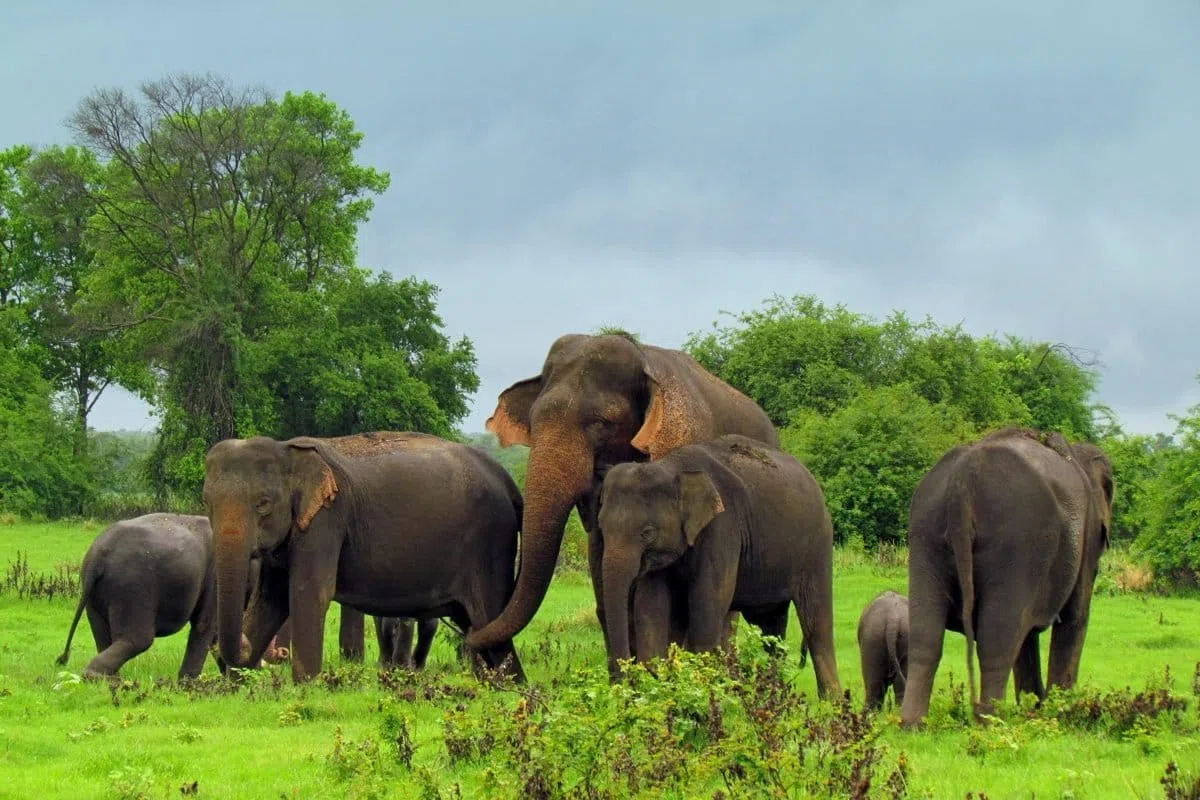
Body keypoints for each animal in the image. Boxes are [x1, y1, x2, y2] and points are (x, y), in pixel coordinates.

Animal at [56, 513, 217, 680]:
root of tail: (98, 555)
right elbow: (205, 624)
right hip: (134, 586)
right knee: (138, 640)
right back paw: (100, 677)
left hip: (96, 595)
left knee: (103, 636)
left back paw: (111, 680)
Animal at [203, 430, 525, 683]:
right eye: (207, 502)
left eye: (263, 504)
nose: (248, 649)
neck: (287, 449)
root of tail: (507, 479)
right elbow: (271, 600)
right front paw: (237, 685)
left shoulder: (327, 519)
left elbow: (309, 592)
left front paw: (306, 687)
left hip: (489, 546)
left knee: (489, 618)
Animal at [593, 435, 842, 698]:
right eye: (601, 526)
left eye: (647, 533)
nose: (622, 688)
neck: (672, 467)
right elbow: (651, 608)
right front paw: (663, 688)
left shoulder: (722, 528)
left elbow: (707, 605)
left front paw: (700, 692)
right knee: (770, 628)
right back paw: (774, 693)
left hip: (818, 545)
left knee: (817, 623)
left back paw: (831, 701)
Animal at [899, 427, 1114, 728]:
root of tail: (962, 484)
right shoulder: (1089, 532)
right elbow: (1075, 618)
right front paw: (1059, 712)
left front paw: (1035, 708)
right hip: (1016, 542)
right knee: (997, 637)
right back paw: (991, 722)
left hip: (924, 534)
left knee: (925, 634)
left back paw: (912, 725)